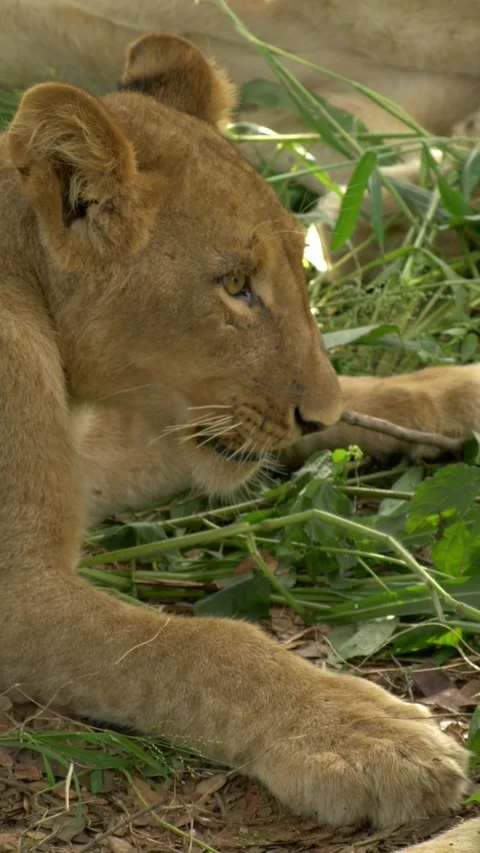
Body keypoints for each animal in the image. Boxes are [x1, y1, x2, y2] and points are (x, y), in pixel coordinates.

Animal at [0, 31, 479, 852]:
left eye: (298, 266)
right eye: (233, 285)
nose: (315, 414)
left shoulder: (109, 444)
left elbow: (365, 392)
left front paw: (460, 391)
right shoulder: (14, 584)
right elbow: (195, 647)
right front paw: (366, 736)